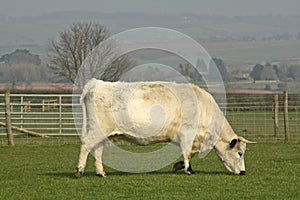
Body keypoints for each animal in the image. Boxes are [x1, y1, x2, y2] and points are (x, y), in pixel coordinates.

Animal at [74, 79, 253, 177]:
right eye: (240, 153)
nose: (243, 172)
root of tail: (96, 84)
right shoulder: (187, 133)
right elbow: (187, 153)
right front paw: (189, 170)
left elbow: (189, 154)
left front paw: (178, 166)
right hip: (97, 130)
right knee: (86, 145)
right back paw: (79, 171)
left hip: (104, 134)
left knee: (97, 150)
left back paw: (101, 173)